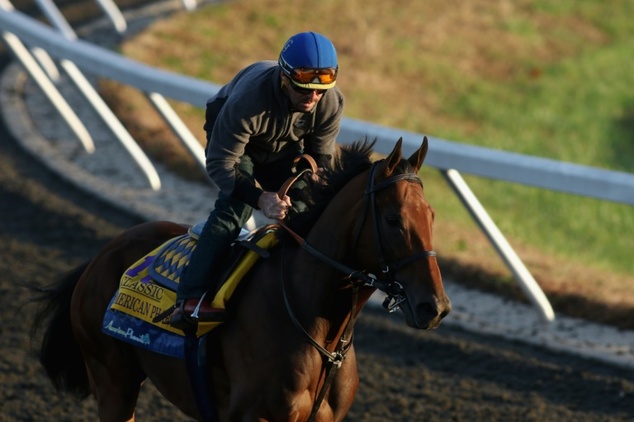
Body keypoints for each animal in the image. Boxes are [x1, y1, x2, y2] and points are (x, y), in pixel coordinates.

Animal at [32, 137, 450, 420]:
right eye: (393, 219)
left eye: (431, 216)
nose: (436, 307)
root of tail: (101, 256)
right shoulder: (254, 415)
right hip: (113, 381)